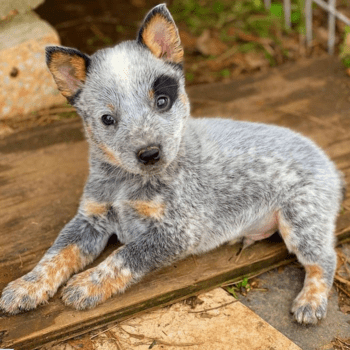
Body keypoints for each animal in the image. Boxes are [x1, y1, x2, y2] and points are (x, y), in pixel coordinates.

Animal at [0, 3, 344, 326]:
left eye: (162, 101)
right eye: (107, 119)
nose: (150, 153)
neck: (127, 183)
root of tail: (327, 162)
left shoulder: (179, 231)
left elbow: (123, 255)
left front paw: (86, 284)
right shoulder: (90, 218)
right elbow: (55, 253)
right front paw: (26, 286)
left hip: (300, 218)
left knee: (325, 259)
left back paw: (310, 302)